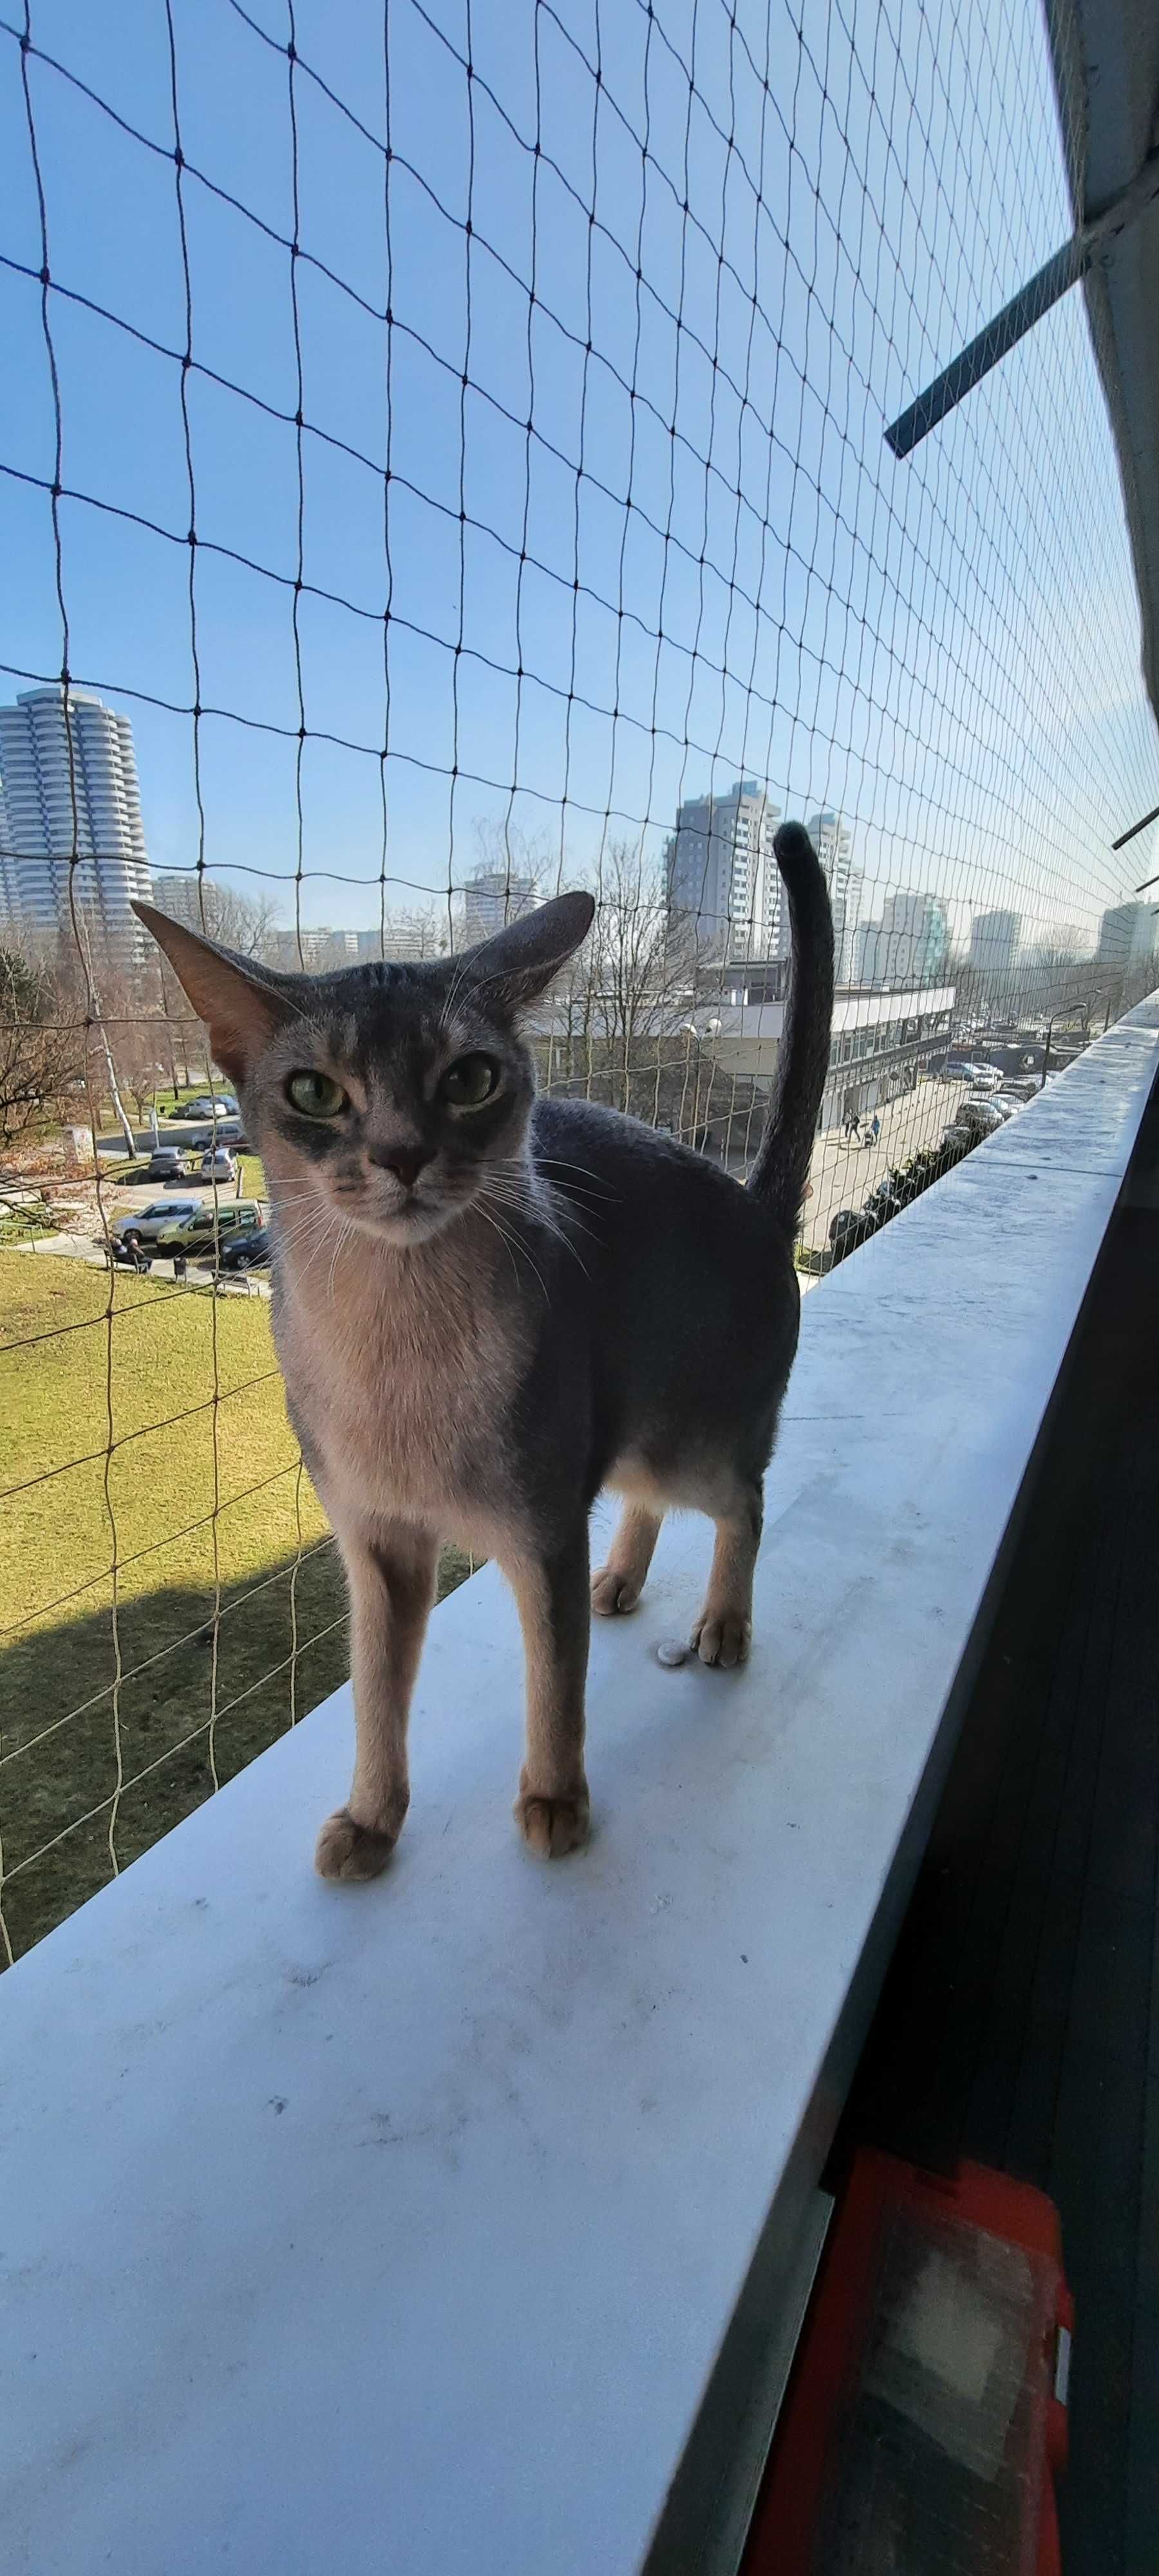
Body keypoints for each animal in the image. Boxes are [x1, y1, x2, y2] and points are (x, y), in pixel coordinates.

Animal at [138, 835, 834, 1886]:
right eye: (314, 1092)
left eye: (469, 1079)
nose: (402, 1155)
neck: (393, 1345)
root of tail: (759, 1203)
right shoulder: (378, 1547)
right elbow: (377, 1697)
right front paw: (373, 1820)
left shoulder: (542, 1535)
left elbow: (556, 1682)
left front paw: (555, 1801)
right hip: (630, 1440)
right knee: (649, 1504)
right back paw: (621, 1581)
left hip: (692, 1447)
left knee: (743, 1504)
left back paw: (722, 1624)